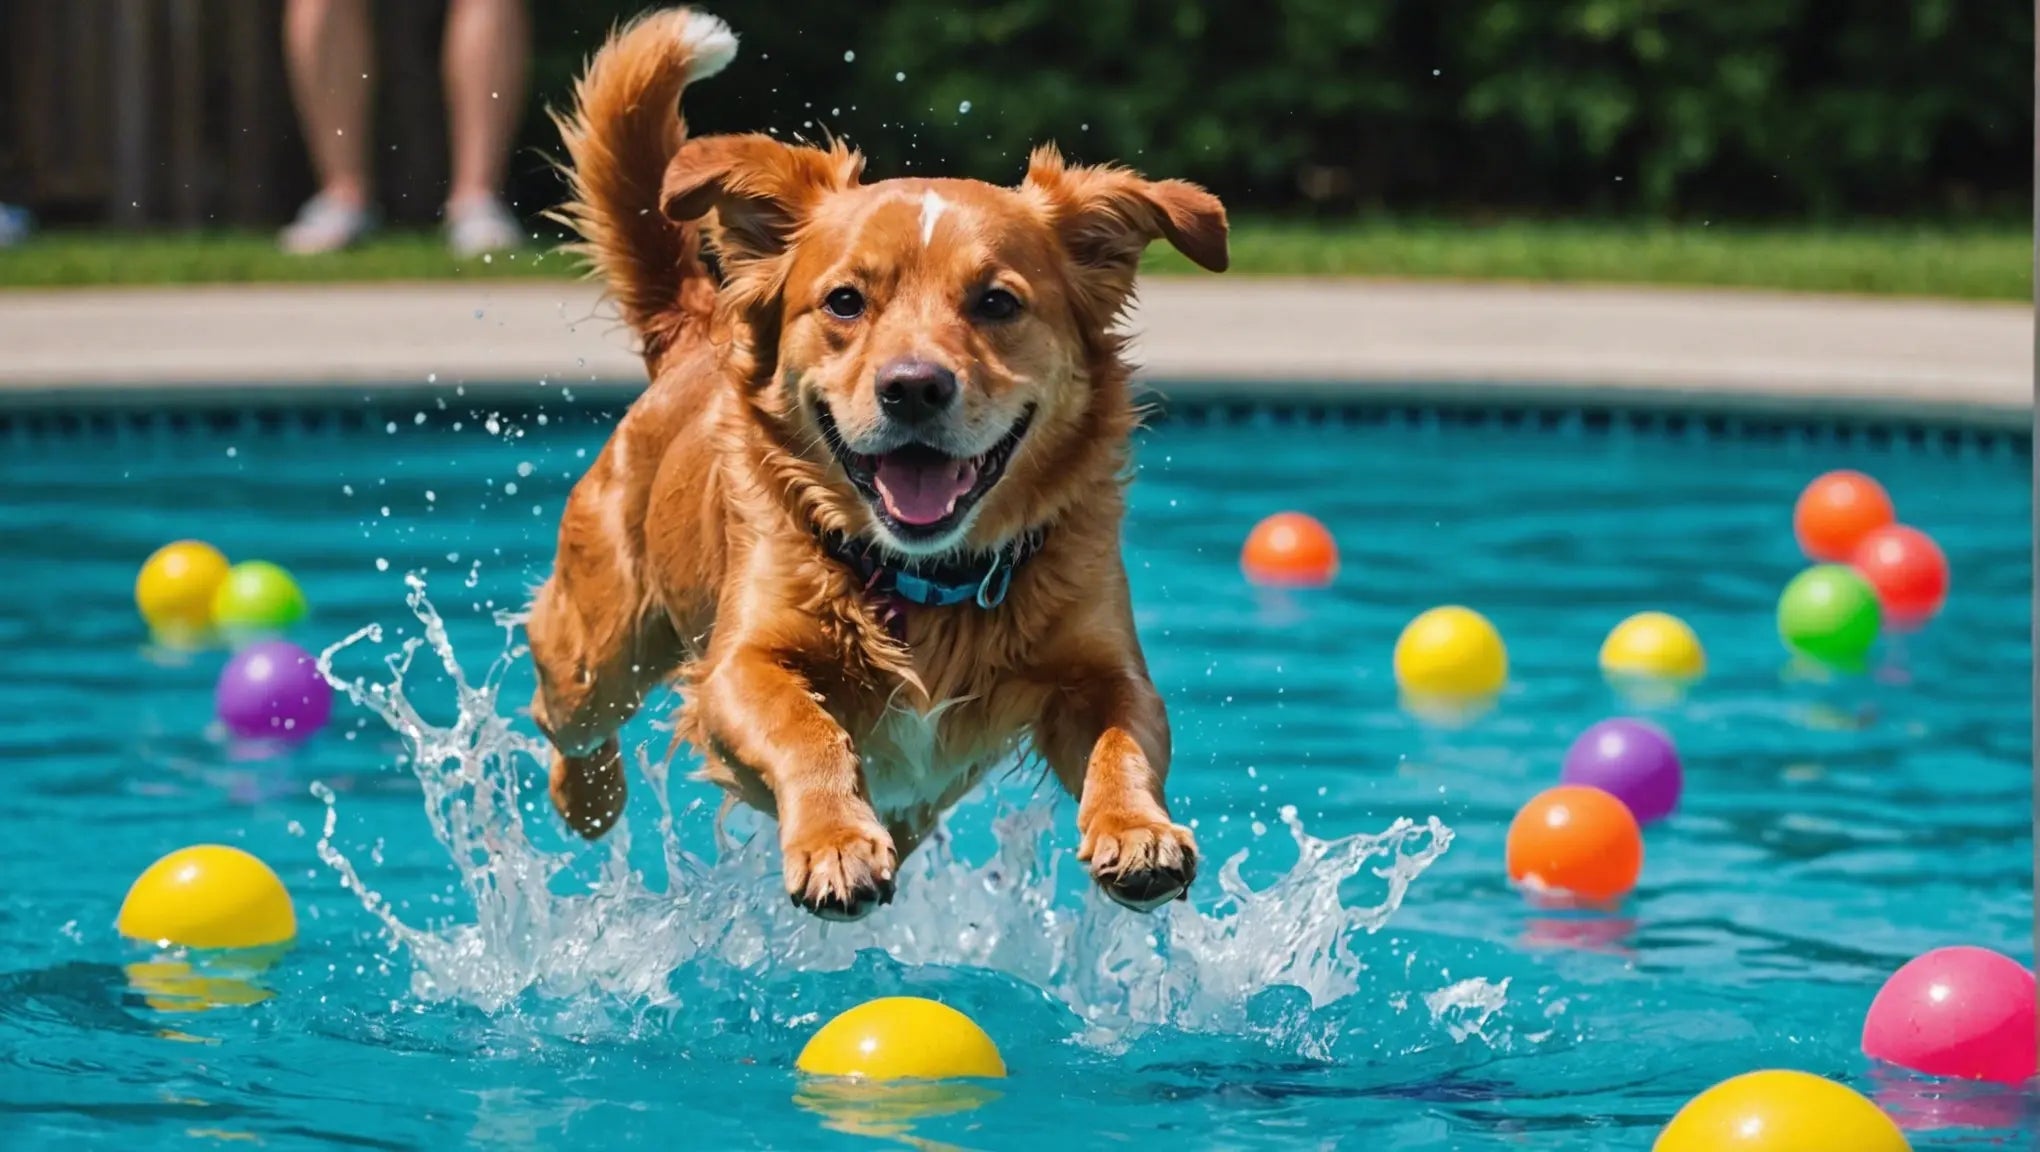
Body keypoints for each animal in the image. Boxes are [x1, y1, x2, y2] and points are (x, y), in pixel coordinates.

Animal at [526, 8, 1224, 921]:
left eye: (996, 302)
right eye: (845, 302)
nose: (913, 387)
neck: (926, 581)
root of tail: (697, 328)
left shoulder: (1104, 665)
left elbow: (1125, 738)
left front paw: (1136, 828)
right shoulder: (738, 665)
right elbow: (804, 727)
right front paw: (835, 839)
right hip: (599, 649)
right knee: (562, 709)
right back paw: (590, 793)